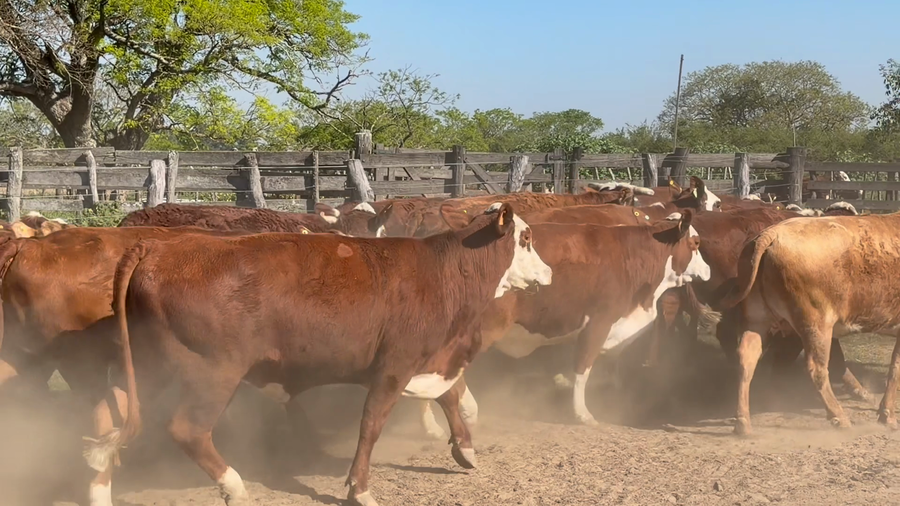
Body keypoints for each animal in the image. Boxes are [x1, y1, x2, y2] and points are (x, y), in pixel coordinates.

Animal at [83, 202, 553, 506]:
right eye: (527, 238)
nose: (548, 272)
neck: (443, 271)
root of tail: (156, 247)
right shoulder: (394, 366)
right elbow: (371, 426)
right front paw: (360, 489)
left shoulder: (431, 360)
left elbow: (451, 397)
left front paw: (465, 450)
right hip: (214, 373)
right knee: (188, 430)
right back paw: (234, 486)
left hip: (144, 368)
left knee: (108, 420)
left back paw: (100, 489)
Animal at [718, 211, 900, 435]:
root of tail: (770, 234)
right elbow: (895, 370)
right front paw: (888, 414)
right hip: (816, 323)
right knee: (816, 369)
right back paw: (839, 417)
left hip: (756, 319)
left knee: (746, 360)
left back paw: (743, 422)